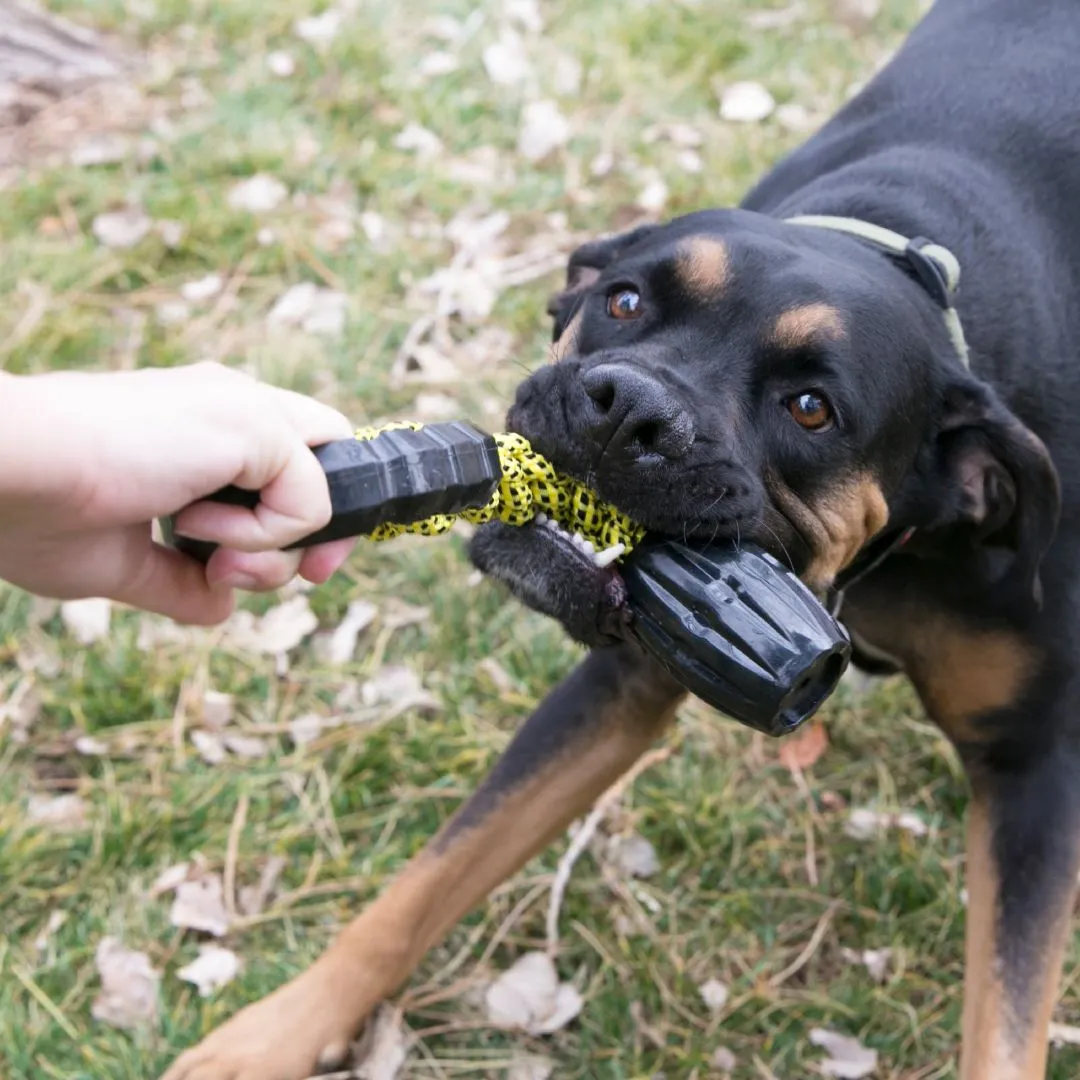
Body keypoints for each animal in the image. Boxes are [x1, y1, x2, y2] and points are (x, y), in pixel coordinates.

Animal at [164, 2, 1080, 1080]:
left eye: (812, 408)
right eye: (627, 301)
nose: (626, 407)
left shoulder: (1036, 774)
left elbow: (1004, 1023)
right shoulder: (623, 678)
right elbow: (427, 882)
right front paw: (279, 1030)